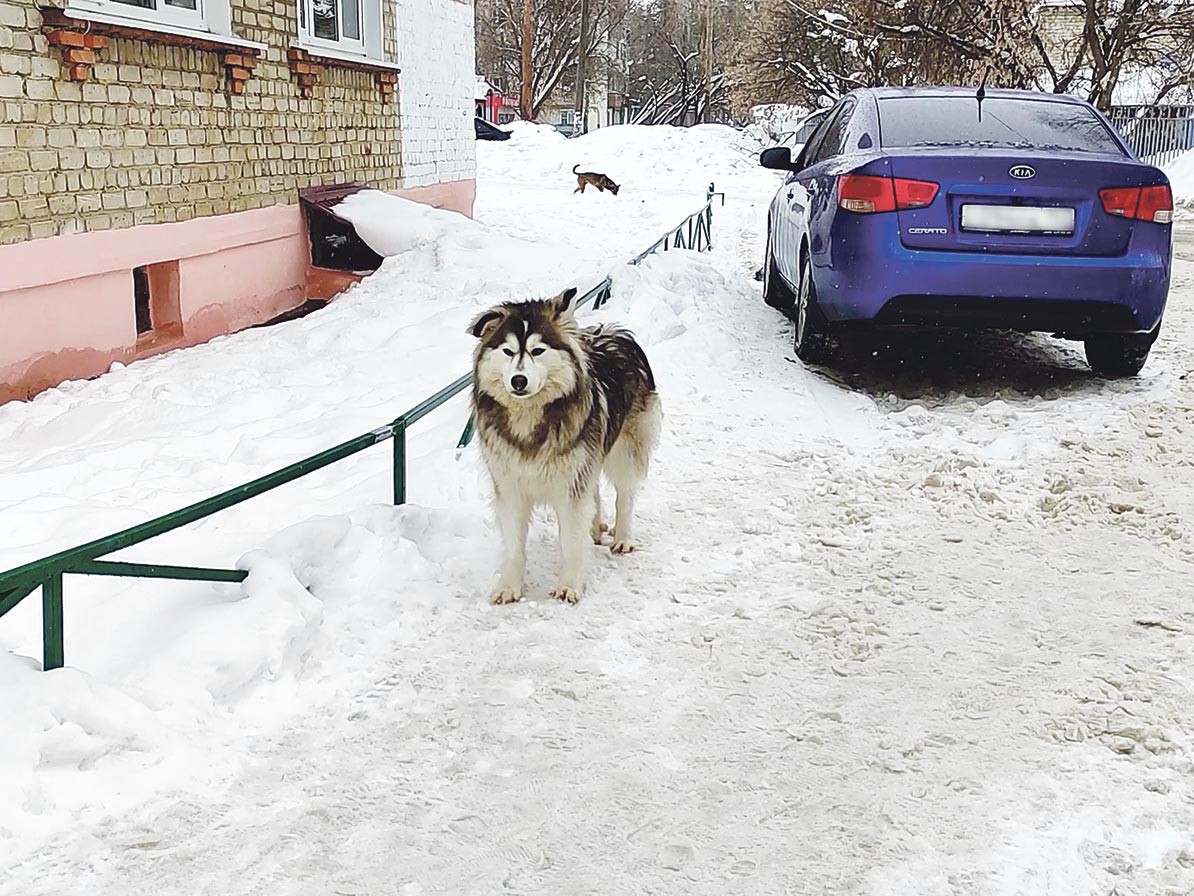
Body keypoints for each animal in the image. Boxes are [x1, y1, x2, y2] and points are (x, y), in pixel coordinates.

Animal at [468, 291, 663, 606]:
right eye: (508, 351)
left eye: (538, 351)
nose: (518, 380)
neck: (529, 417)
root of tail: (612, 332)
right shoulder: (510, 486)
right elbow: (514, 545)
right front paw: (509, 586)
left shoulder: (572, 482)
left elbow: (571, 541)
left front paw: (569, 586)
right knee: (595, 492)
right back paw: (595, 528)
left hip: (625, 449)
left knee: (625, 495)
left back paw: (622, 537)